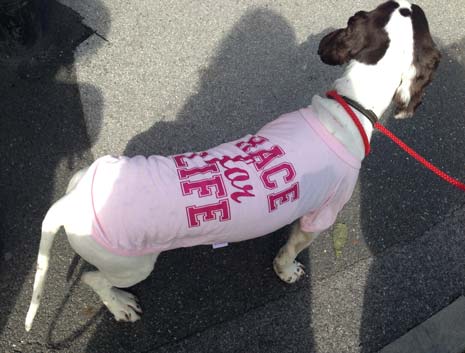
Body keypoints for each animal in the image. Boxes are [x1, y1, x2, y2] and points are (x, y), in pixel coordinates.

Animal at [24, 0, 438, 330]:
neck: (350, 103)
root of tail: (69, 203)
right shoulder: (321, 216)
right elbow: (291, 248)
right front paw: (287, 270)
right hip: (132, 265)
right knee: (95, 280)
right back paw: (121, 305)